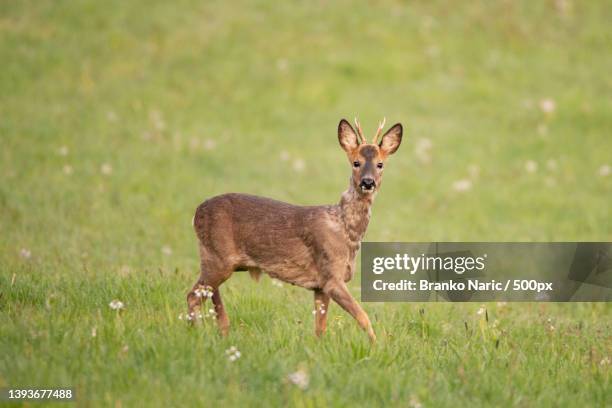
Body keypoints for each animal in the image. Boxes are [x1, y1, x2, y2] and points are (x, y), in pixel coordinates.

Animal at [189, 118, 404, 342]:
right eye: (356, 162)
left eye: (380, 164)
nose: (368, 182)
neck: (346, 231)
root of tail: (197, 213)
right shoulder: (331, 276)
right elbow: (363, 317)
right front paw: (377, 345)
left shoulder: (320, 285)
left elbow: (320, 328)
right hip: (218, 258)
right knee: (192, 296)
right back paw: (193, 334)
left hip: (216, 260)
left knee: (212, 298)